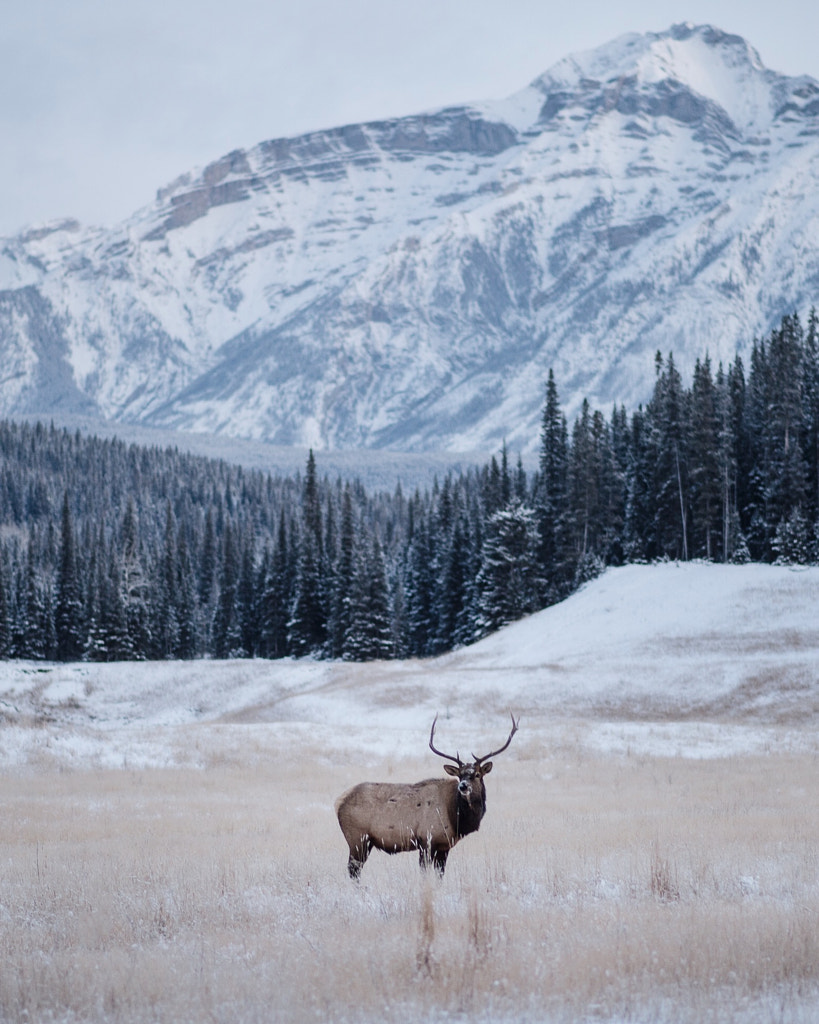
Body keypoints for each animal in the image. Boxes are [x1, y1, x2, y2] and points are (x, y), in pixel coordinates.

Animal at [333, 716, 518, 876]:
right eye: (460, 775)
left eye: (477, 774)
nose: (463, 786)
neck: (456, 818)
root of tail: (338, 802)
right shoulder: (426, 840)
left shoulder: (444, 846)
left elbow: (439, 875)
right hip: (357, 839)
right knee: (353, 870)